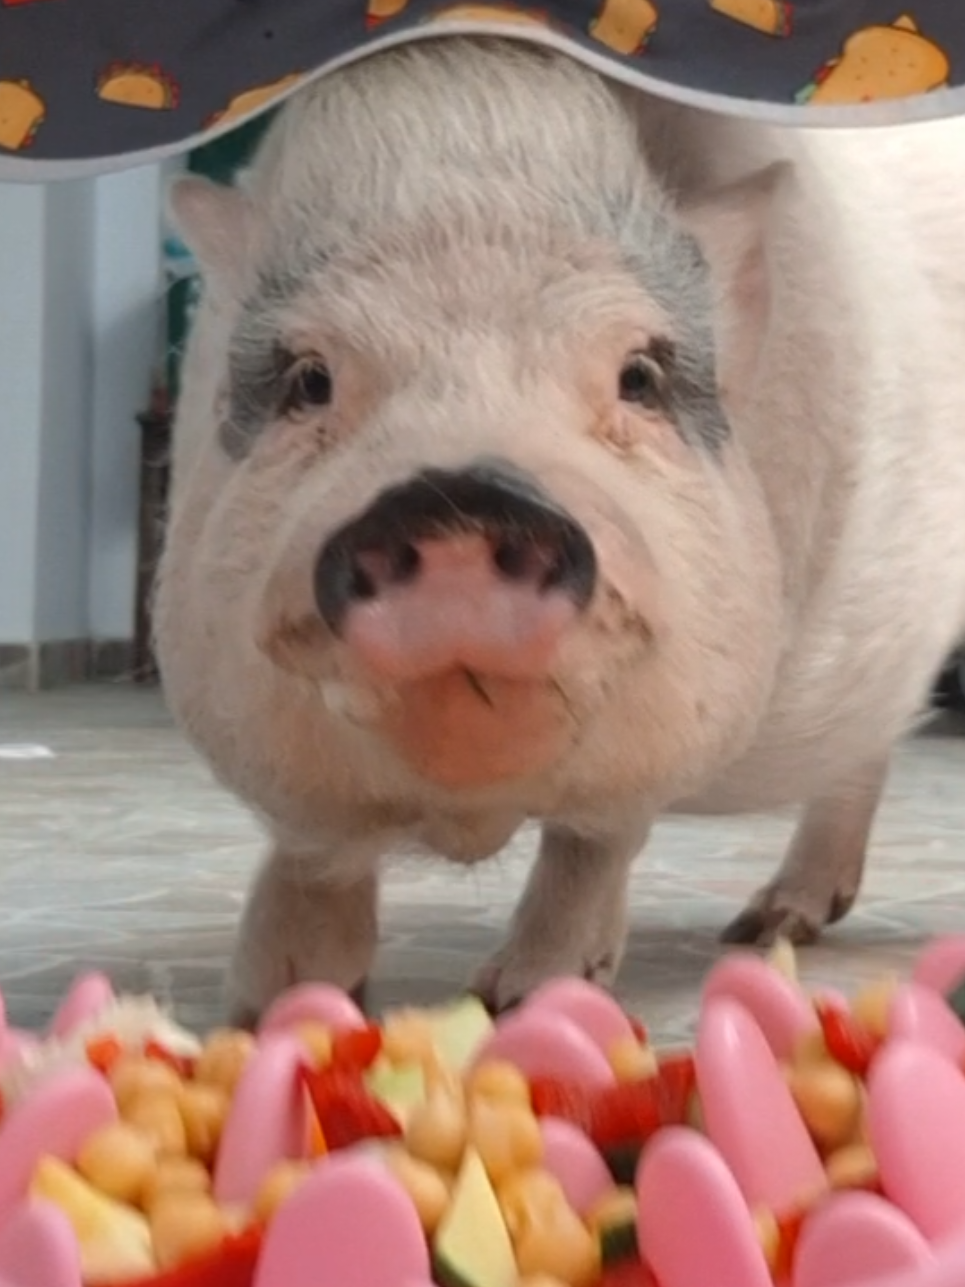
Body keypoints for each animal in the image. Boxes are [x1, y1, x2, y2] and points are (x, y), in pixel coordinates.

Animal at [153, 36, 965, 1023]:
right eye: (309, 380)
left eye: (637, 377)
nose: (453, 503)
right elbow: (313, 852)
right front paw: (270, 1007)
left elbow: (594, 834)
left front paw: (519, 1000)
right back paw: (769, 924)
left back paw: (758, 930)